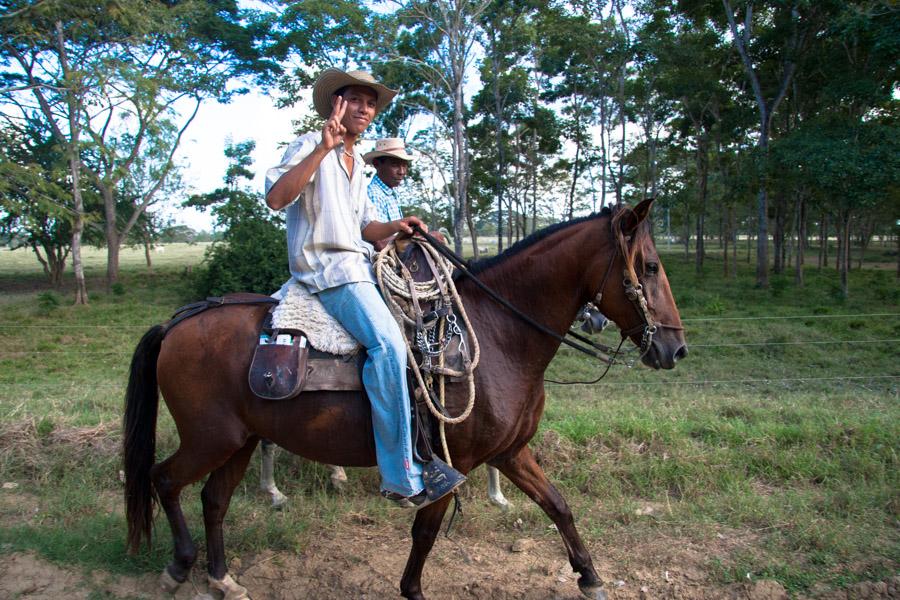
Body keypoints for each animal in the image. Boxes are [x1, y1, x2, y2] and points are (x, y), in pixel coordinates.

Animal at [123, 202, 684, 600]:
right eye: (651, 266)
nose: (674, 348)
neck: (498, 333)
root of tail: (178, 322)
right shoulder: (454, 461)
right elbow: (425, 532)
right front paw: (411, 590)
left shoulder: (509, 452)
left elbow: (559, 506)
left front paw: (590, 577)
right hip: (209, 438)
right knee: (163, 479)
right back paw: (179, 566)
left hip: (238, 441)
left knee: (213, 499)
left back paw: (221, 578)